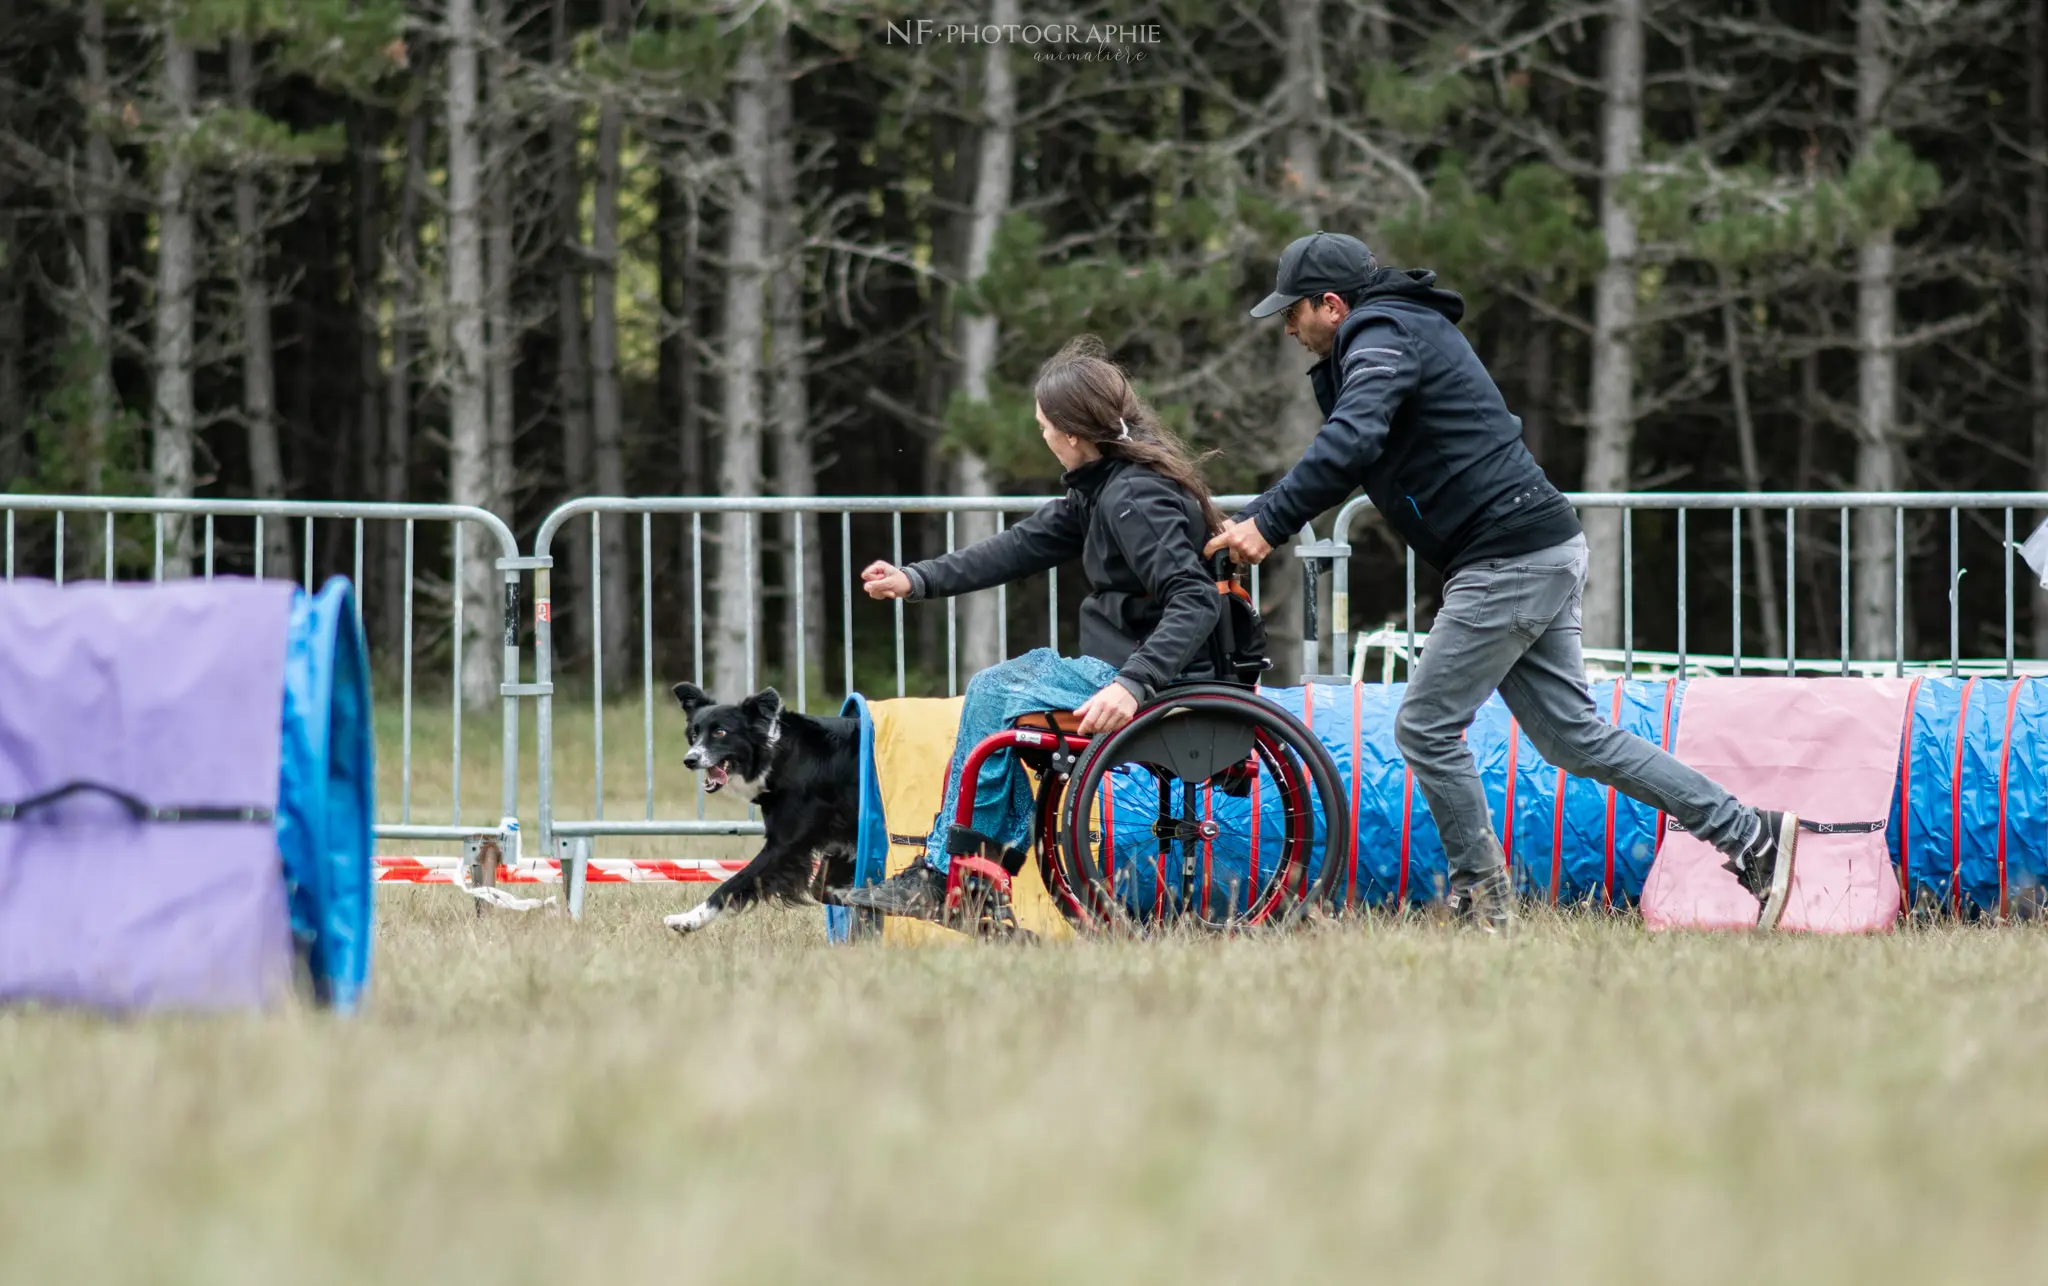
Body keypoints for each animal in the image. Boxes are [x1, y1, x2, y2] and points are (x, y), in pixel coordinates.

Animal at [667, 683, 860, 933]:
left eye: (721, 733)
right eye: (694, 734)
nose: (689, 760)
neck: (778, 755)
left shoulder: (786, 845)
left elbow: (733, 884)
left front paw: (689, 919)